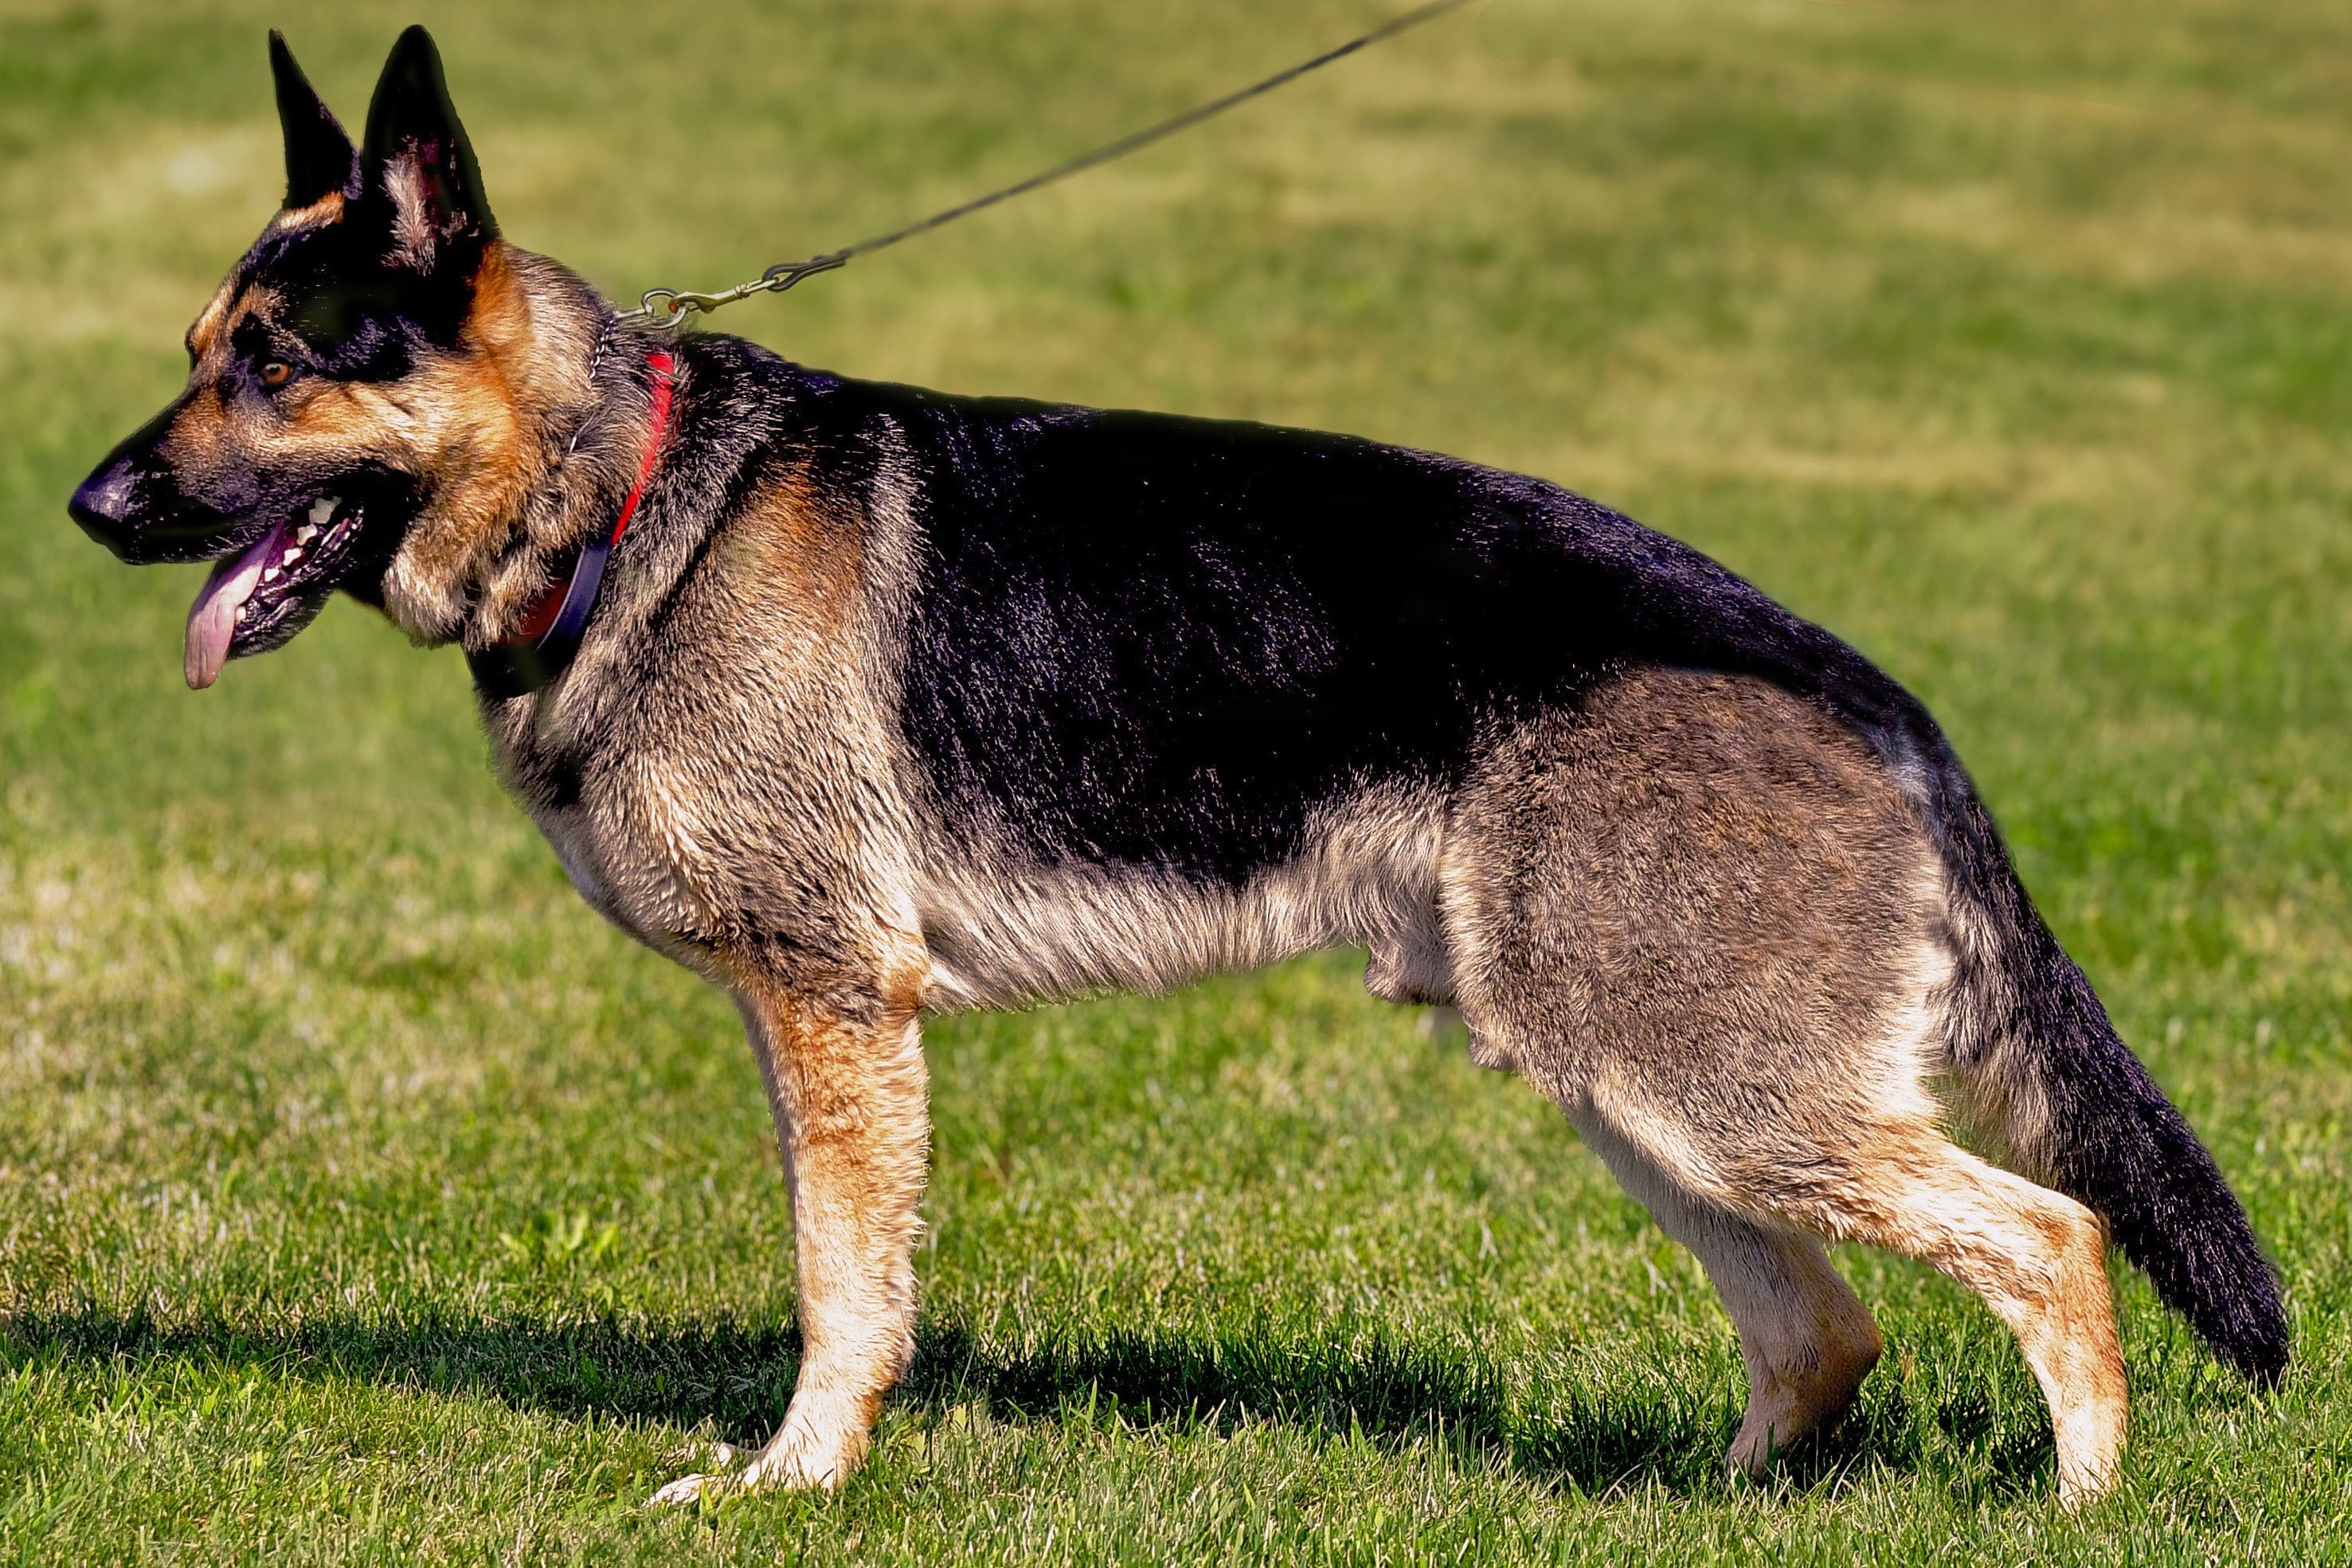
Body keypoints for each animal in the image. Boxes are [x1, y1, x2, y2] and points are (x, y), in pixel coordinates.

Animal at [68, 30, 2276, 1514]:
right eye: (196, 351)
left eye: (278, 363)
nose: (89, 509)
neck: (624, 499)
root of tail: (1881, 694)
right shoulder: (816, 1020)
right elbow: (845, 1268)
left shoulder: (831, 1006)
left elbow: (840, 1285)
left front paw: (797, 1485)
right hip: (1640, 1086)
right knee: (1827, 1327)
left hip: (1703, 1090)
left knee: (2050, 1242)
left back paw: (2075, 1512)